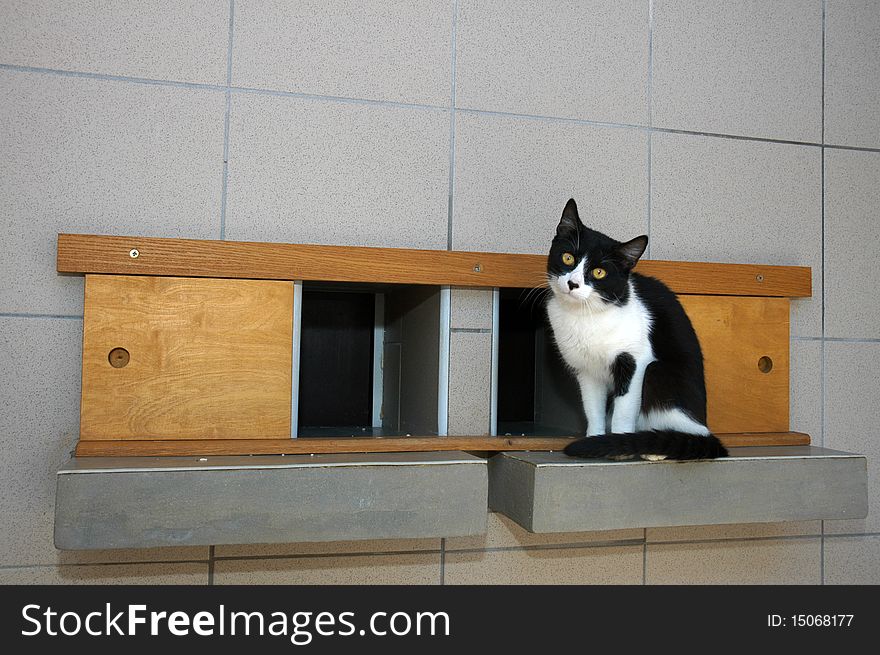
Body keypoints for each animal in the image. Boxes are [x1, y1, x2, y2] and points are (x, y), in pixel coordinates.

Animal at [552, 199, 728, 462]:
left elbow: (624, 408)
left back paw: (653, 448)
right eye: (567, 257)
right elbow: (592, 407)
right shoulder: (587, 371)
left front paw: (618, 445)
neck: (586, 315)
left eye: (599, 272)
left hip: (658, 374)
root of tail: (705, 427)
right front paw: (595, 439)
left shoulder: (636, 360)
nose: (573, 284)